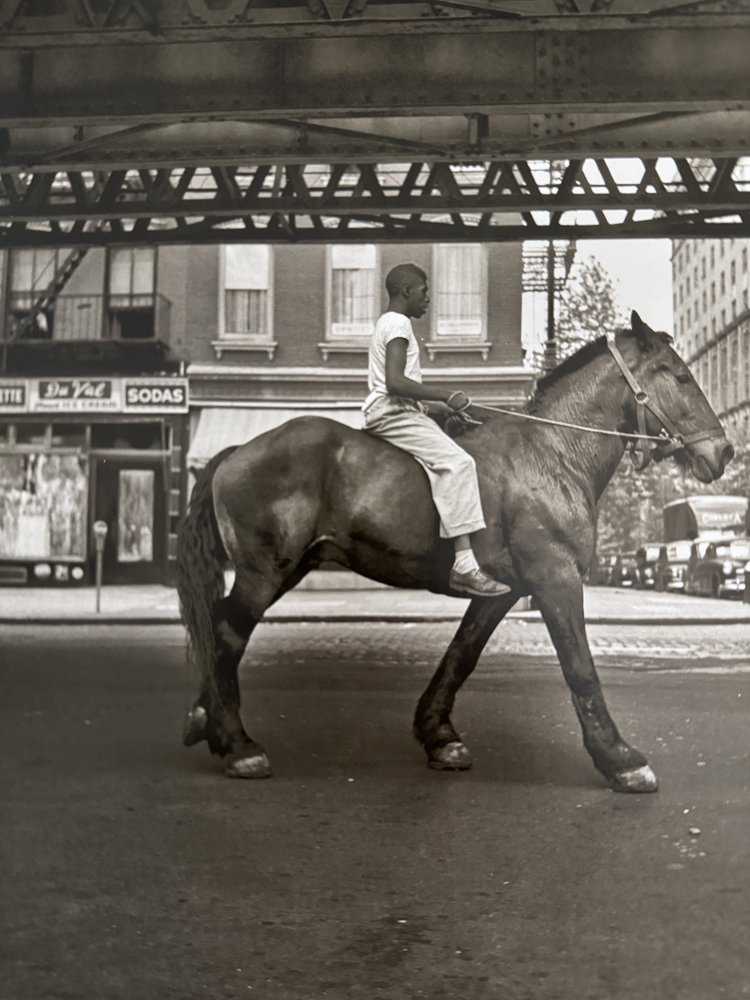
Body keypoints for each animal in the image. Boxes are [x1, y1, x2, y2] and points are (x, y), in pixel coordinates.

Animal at [178, 316, 736, 792]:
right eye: (680, 376)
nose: (725, 451)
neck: (553, 452)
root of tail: (237, 452)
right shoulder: (555, 579)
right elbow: (579, 666)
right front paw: (620, 758)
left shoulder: (501, 592)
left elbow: (461, 655)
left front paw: (438, 734)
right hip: (264, 572)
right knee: (227, 632)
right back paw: (237, 744)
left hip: (289, 568)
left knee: (221, 626)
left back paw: (206, 721)